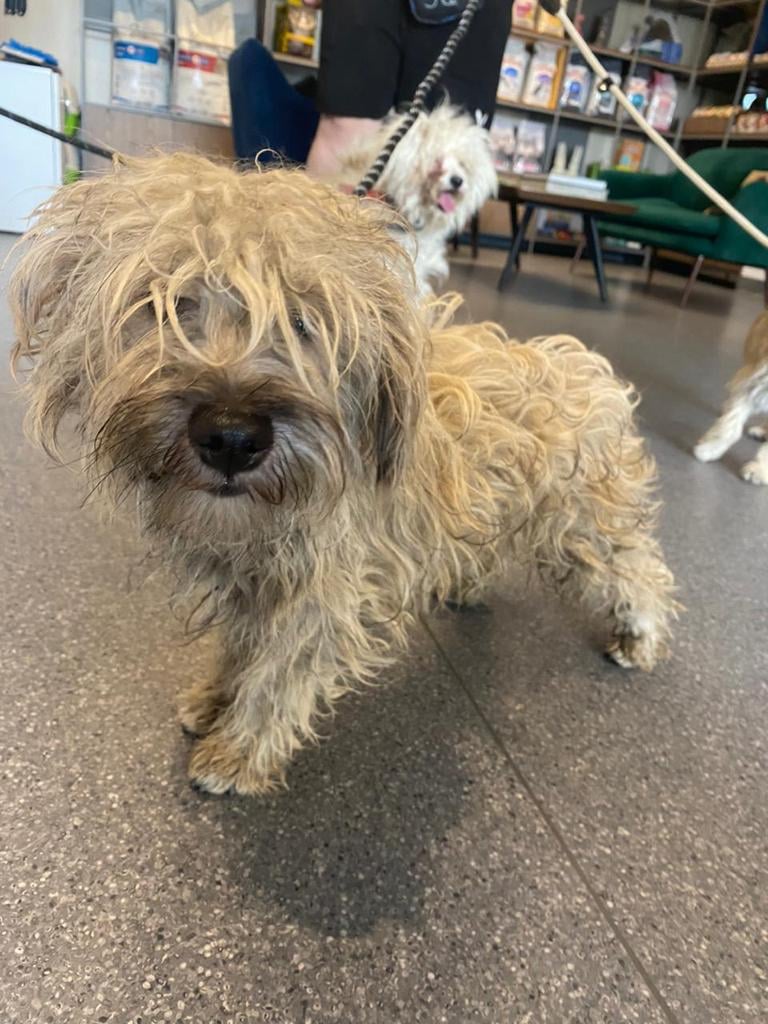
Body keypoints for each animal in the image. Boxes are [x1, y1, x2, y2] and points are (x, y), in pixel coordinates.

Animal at [10, 153, 676, 796]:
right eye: (166, 305)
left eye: (305, 322)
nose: (231, 436)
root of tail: (580, 367)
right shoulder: (255, 588)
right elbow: (239, 649)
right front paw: (215, 698)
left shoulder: (320, 599)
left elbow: (277, 678)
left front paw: (239, 751)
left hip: (583, 526)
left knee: (637, 570)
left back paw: (639, 634)